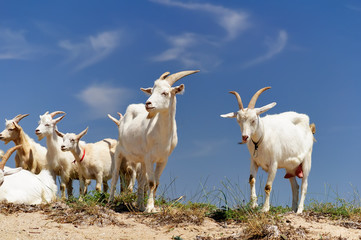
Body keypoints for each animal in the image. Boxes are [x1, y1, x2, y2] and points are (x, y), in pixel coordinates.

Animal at [108, 69, 198, 212]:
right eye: (152, 91)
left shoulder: (163, 160)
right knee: (116, 175)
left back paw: (140, 205)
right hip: (119, 151)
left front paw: (151, 207)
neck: (161, 136)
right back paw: (111, 201)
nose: (148, 104)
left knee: (140, 180)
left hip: (141, 159)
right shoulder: (149, 157)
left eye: (165, 93)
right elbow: (151, 182)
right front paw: (150, 208)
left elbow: (156, 183)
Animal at [219, 86, 316, 214]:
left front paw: (265, 208)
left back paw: (299, 210)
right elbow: (251, 180)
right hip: (290, 167)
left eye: (254, 119)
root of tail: (309, 126)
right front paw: (253, 205)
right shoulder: (254, 161)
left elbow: (267, 186)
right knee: (295, 186)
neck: (261, 139)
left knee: (304, 185)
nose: (245, 137)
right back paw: (292, 209)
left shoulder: (273, 164)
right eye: (238, 121)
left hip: (307, 160)